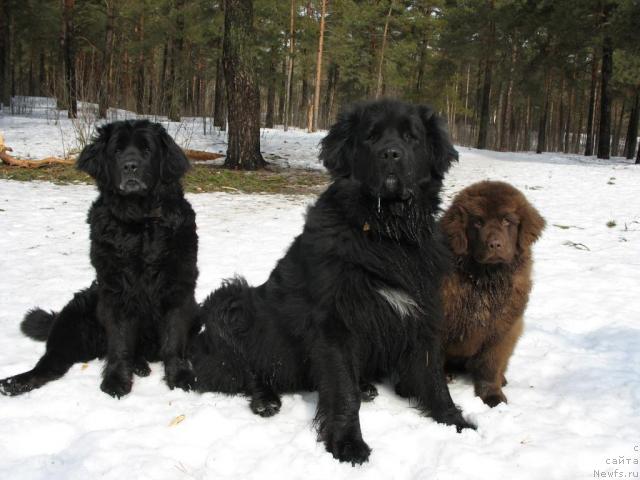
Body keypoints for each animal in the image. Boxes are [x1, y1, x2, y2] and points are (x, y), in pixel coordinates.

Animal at [0, 119, 199, 398]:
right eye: (117, 151)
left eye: (147, 150)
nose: (130, 166)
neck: (139, 223)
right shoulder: (116, 291)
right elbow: (120, 343)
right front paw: (116, 381)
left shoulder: (178, 288)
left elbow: (174, 338)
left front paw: (180, 377)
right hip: (73, 323)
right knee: (50, 363)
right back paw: (15, 382)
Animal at [191, 100, 476, 464]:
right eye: (370, 137)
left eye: (411, 137)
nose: (391, 154)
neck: (386, 233)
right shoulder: (336, 322)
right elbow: (343, 390)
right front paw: (347, 443)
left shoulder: (422, 310)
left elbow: (433, 376)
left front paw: (454, 421)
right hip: (233, 302)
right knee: (245, 371)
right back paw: (266, 400)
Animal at [440, 182, 544, 406]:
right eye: (478, 222)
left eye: (507, 220)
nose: (495, 244)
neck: (485, 281)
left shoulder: (502, 329)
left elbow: (490, 365)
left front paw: (492, 395)